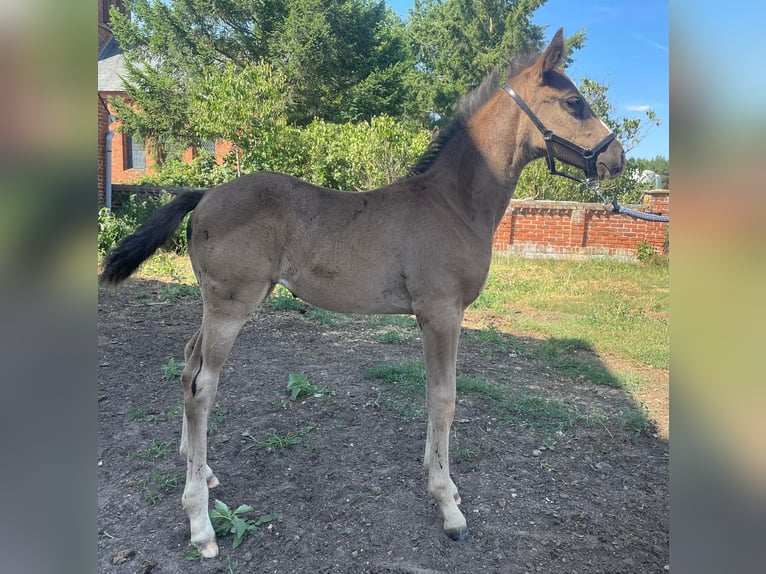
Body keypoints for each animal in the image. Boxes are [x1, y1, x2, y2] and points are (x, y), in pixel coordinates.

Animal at [100, 28, 625, 558]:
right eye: (574, 102)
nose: (617, 158)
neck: (453, 205)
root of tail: (204, 194)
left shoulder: (437, 317)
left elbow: (434, 393)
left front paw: (443, 481)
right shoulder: (441, 312)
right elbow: (445, 398)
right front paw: (447, 505)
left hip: (218, 305)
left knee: (188, 363)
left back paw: (201, 468)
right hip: (231, 306)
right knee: (201, 387)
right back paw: (201, 524)